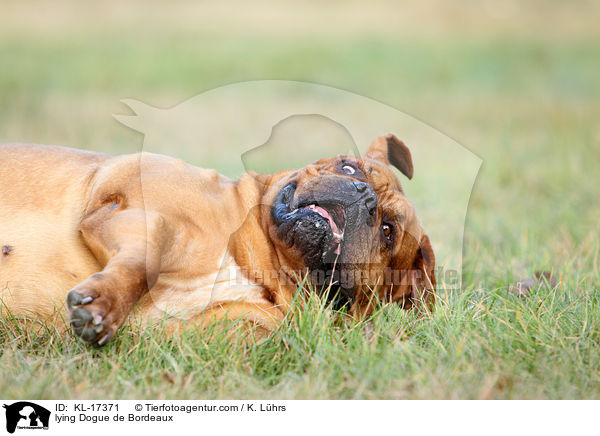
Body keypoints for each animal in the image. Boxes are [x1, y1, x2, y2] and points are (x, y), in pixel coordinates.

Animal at [0, 135, 434, 346]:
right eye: (349, 168)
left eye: (387, 231)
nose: (365, 196)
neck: (254, 263)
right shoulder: (129, 212)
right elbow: (144, 261)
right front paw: (105, 303)